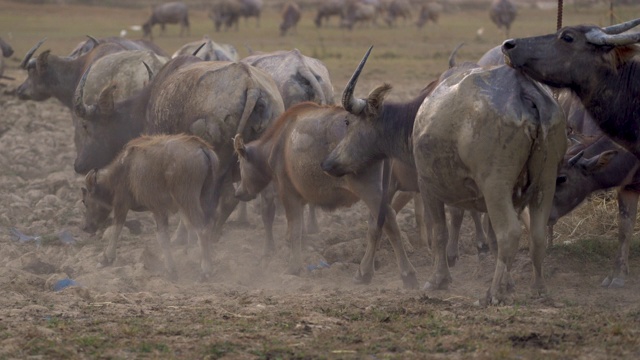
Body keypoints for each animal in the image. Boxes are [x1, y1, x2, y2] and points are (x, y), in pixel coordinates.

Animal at [82, 134, 220, 280]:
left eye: (85, 201)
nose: (85, 227)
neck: (124, 170)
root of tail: (203, 148)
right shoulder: (170, 209)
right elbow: (186, 228)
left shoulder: (127, 204)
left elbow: (118, 230)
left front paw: (106, 258)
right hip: (203, 198)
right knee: (209, 223)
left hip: (188, 199)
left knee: (202, 228)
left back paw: (206, 270)